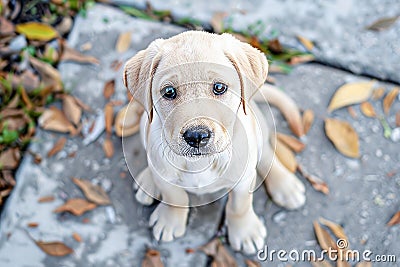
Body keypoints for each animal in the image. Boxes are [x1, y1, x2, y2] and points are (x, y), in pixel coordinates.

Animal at [123, 30, 304, 254]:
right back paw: (148, 180)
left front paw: (245, 232)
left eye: (219, 87)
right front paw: (170, 220)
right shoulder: (166, 178)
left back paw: (286, 186)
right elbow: (175, 196)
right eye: (169, 92)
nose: (197, 136)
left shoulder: (243, 180)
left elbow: (239, 206)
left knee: (267, 154)